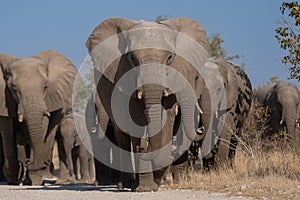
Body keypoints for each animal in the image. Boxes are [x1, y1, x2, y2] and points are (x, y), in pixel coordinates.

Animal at [0, 50, 78, 185]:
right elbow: (7, 132)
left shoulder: (51, 97)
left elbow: (45, 128)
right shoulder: (4, 99)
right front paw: (15, 179)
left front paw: (36, 179)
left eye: (45, 87)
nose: (28, 163)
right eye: (13, 89)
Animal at [85, 17, 211, 192]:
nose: (143, 149)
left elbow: (166, 118)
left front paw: (153, 184)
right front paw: (145, 187)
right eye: (132, 58)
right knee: (122, 136)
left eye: (170, 58)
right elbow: (136, 117)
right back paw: (125, 184)